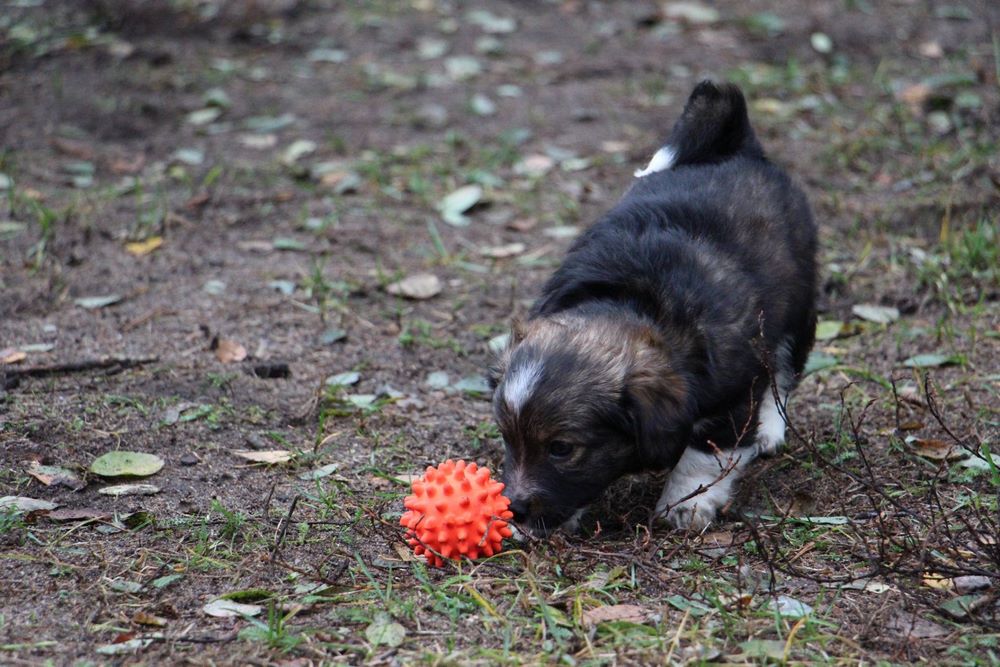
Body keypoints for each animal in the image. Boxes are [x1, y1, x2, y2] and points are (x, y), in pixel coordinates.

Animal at [488, 81, 817, 534]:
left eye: (561, 448)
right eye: (506, 437)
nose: (516, 508)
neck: (632, 302)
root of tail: (739, 148)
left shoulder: (730, 396)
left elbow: (705, 452)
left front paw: (685, 503)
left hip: (797, 312)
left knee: (783, 372)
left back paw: (768, 427)